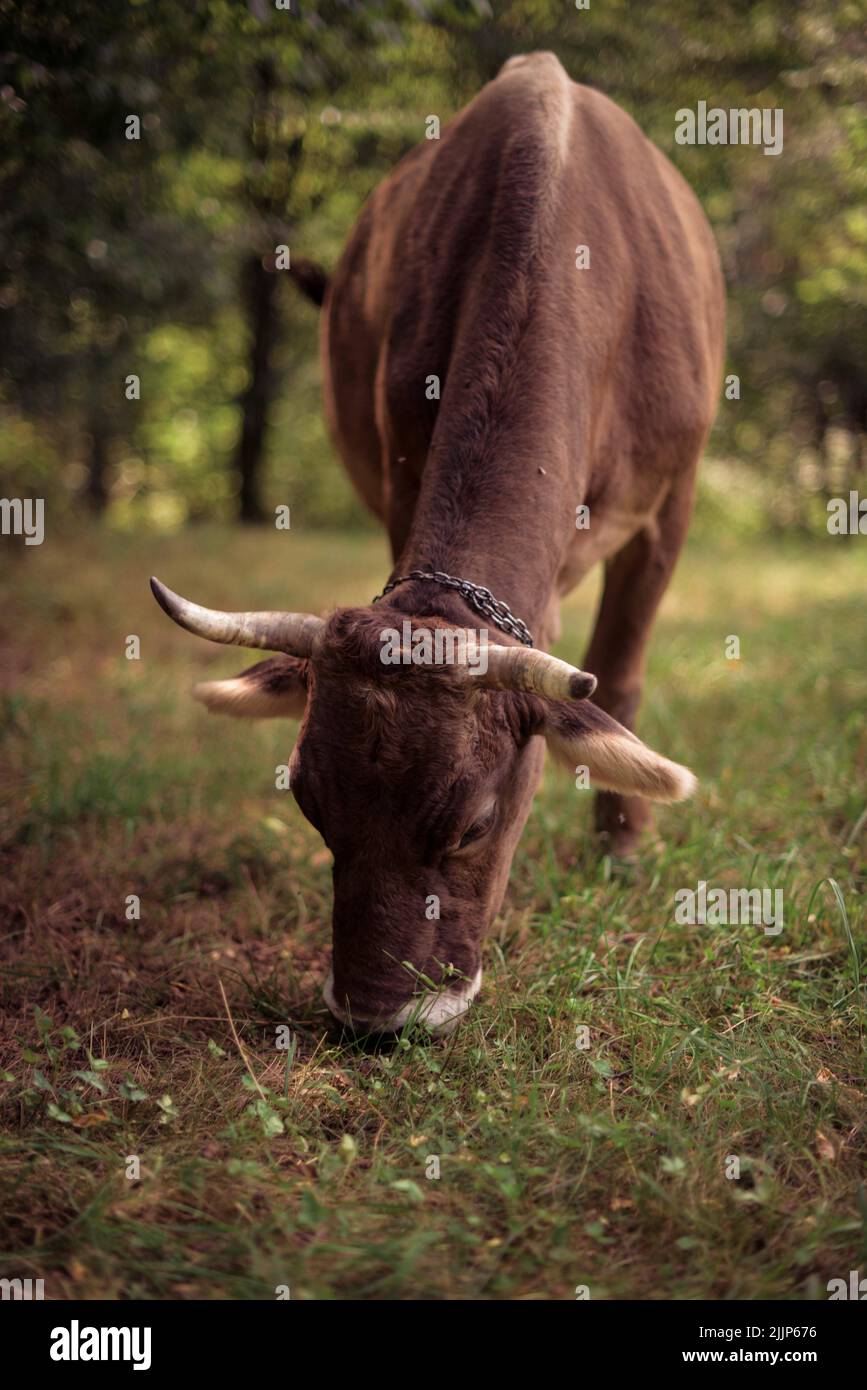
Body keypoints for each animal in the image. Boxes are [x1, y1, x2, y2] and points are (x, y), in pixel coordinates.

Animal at [154, 54, 722, 1034]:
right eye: (311, 807)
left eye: (473, 824)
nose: (377, 1018)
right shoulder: (397, 465)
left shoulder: (669, 501)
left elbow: (620, 668)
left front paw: (622, 847)